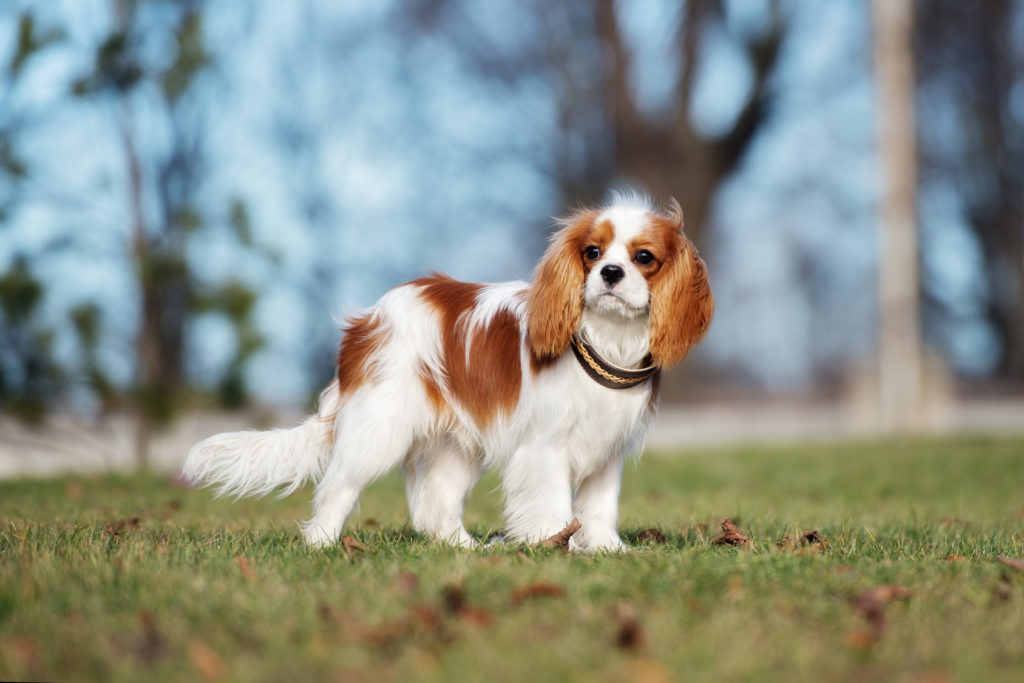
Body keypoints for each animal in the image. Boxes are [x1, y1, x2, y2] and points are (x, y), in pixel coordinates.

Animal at [184, 191, 712, 548]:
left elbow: (599, 505)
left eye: (643, 257)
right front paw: (554, 543)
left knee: (434, 505)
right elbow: (553, 502)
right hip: (380, 426)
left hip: (457, 444)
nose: (610, 274)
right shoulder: (546, 445)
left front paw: (604, 549)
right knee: (338, 487)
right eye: (593, 253)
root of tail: (364, 323)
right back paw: (321, 545)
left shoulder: (608, 448)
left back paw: (466, 549)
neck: (606, 337)